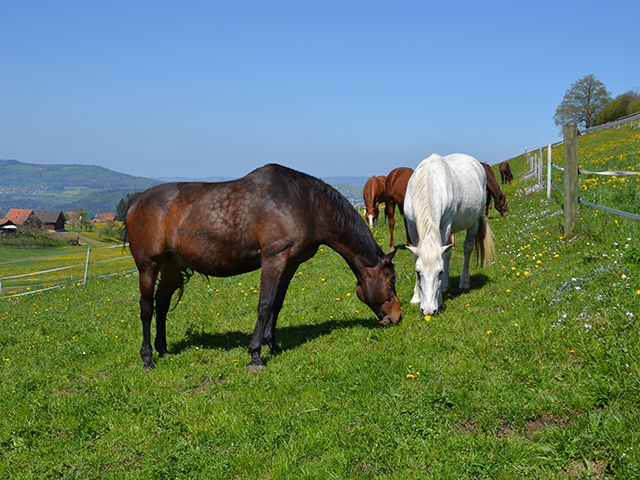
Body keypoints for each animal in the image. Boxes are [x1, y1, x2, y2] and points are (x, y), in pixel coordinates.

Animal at [125, 165, 402, 372]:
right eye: (391, 282)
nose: (396, 317)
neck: (303, 204)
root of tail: (136, 200)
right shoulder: (274, 259)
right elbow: (265, 305)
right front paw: (255, 356)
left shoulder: (290, 263)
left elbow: (277, 304)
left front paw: (274, 346)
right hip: (148, 266)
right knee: (147, 308)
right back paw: (147, 358)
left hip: (170, 266)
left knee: (162, 305)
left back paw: (163, 350)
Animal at [404, 156, 500, 316]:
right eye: (418, 272)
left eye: (440, 272)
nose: (428, 311)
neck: (429, 182)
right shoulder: (411, 226)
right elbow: (417, 257)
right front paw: (416, 297)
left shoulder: (446, 224)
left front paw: (440, 299)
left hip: (474, 220)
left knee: (467, 248)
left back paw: (464, 282)